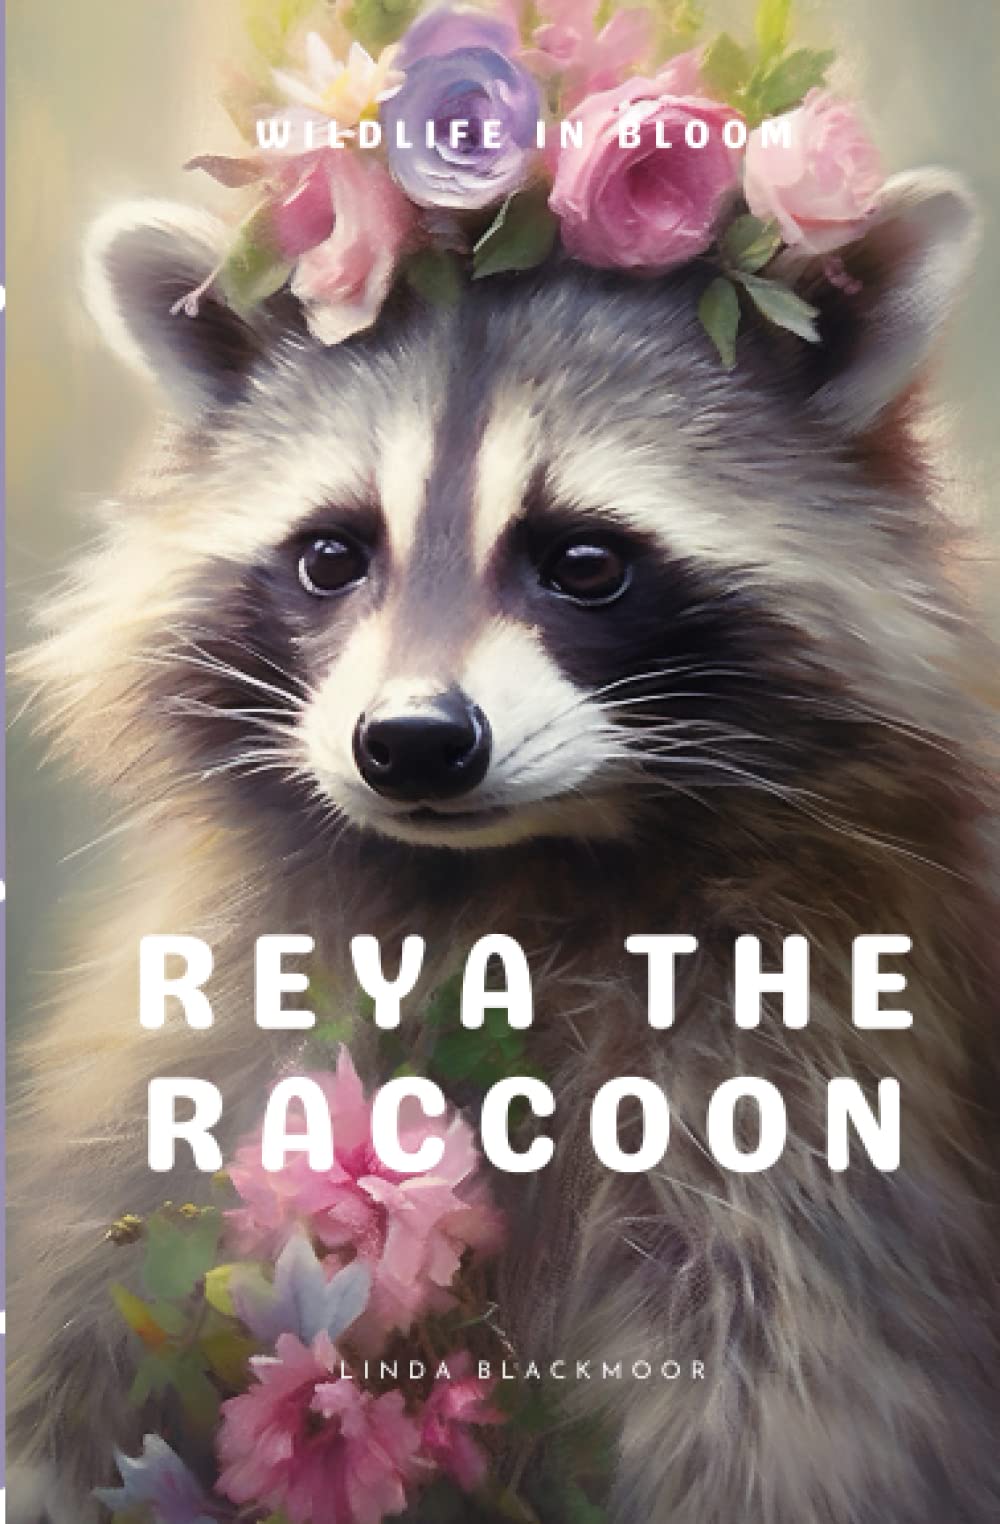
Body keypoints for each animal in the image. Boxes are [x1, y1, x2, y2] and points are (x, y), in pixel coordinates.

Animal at [8, 172, 999, 1523]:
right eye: (331, 554)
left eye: (584, 560)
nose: (413, 744)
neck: (504, 878)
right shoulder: (223, 1018)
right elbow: (77, 1308)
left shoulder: (794, 1079)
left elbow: (796, 1389)